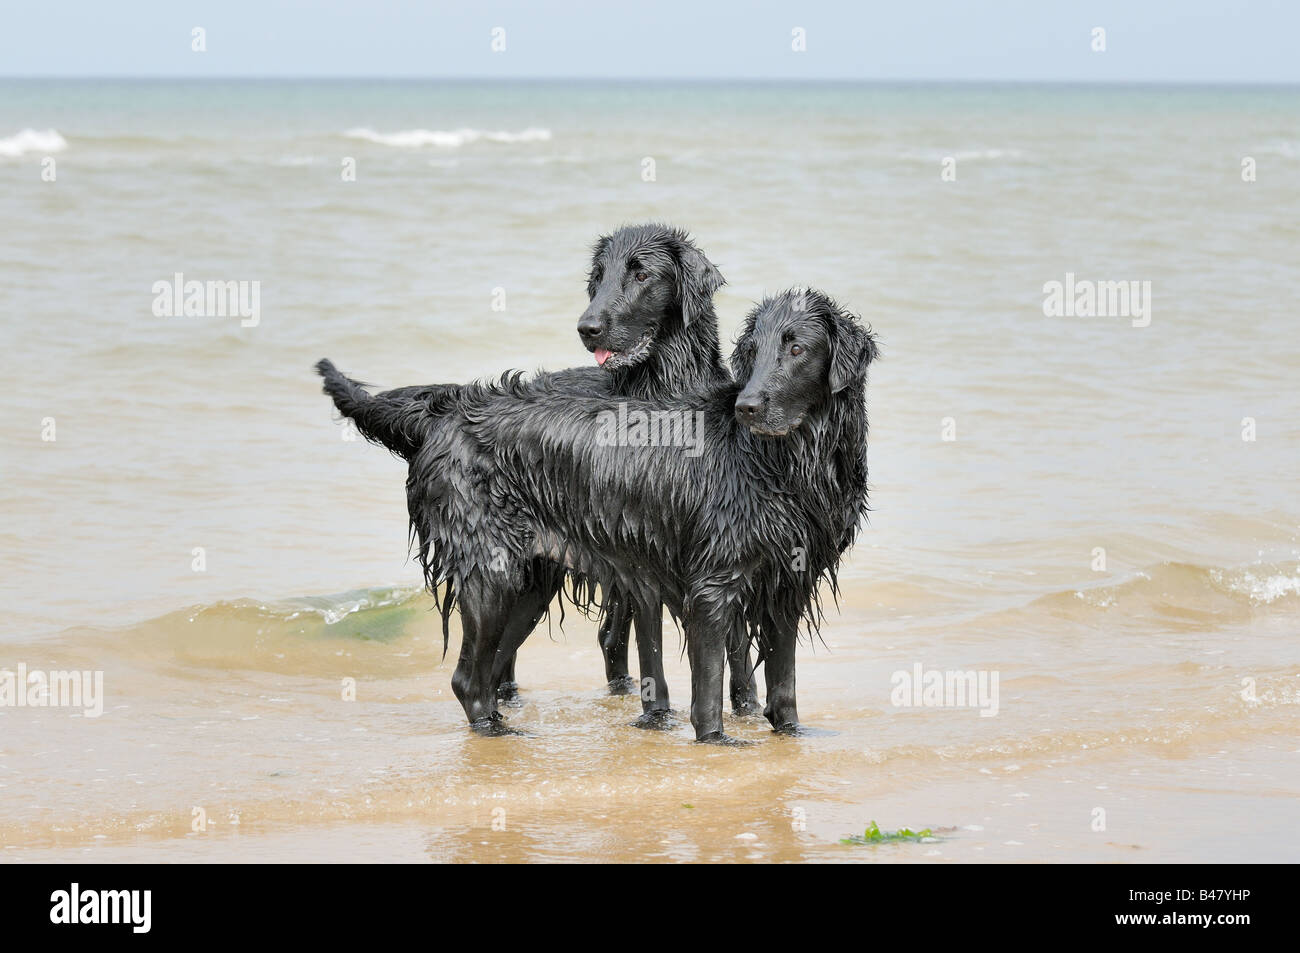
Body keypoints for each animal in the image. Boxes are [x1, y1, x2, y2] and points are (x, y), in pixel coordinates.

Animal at [319, 289, 878, 743]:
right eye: (752, 352)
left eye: (796, 348)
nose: (747, 406)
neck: (787, 461)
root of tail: (446, 413)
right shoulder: (712, 585)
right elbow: (710, 684)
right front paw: (716, 742)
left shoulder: (788, 582)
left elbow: (783, 685)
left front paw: (792, 735)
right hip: (490, 568)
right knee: (467, 679)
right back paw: (499, 733)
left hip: (530, 581)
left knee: (492, 667)